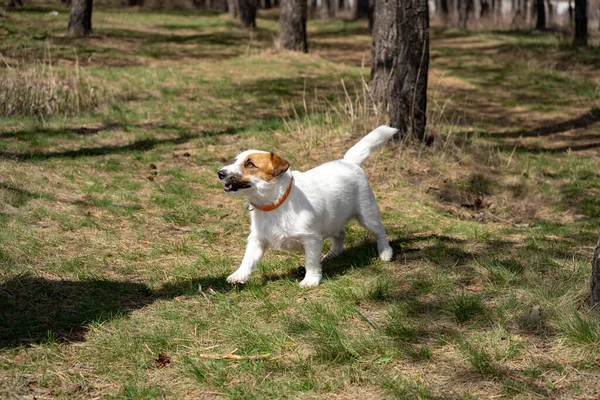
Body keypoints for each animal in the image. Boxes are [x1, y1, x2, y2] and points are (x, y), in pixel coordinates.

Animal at [218, 126, 396, 286]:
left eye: (250, 164)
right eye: (235, 161)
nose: (220, 173)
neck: (275, 203)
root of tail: (349, 162)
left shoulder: (311, 239)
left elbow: (311, 262)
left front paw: (310, 280)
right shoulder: (257, 240)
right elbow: (247, 260)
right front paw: (238, 275)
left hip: (367, 215)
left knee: (380, 232)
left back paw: (385, 252)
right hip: (334, 219)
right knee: (340, 234)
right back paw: (332, 254)